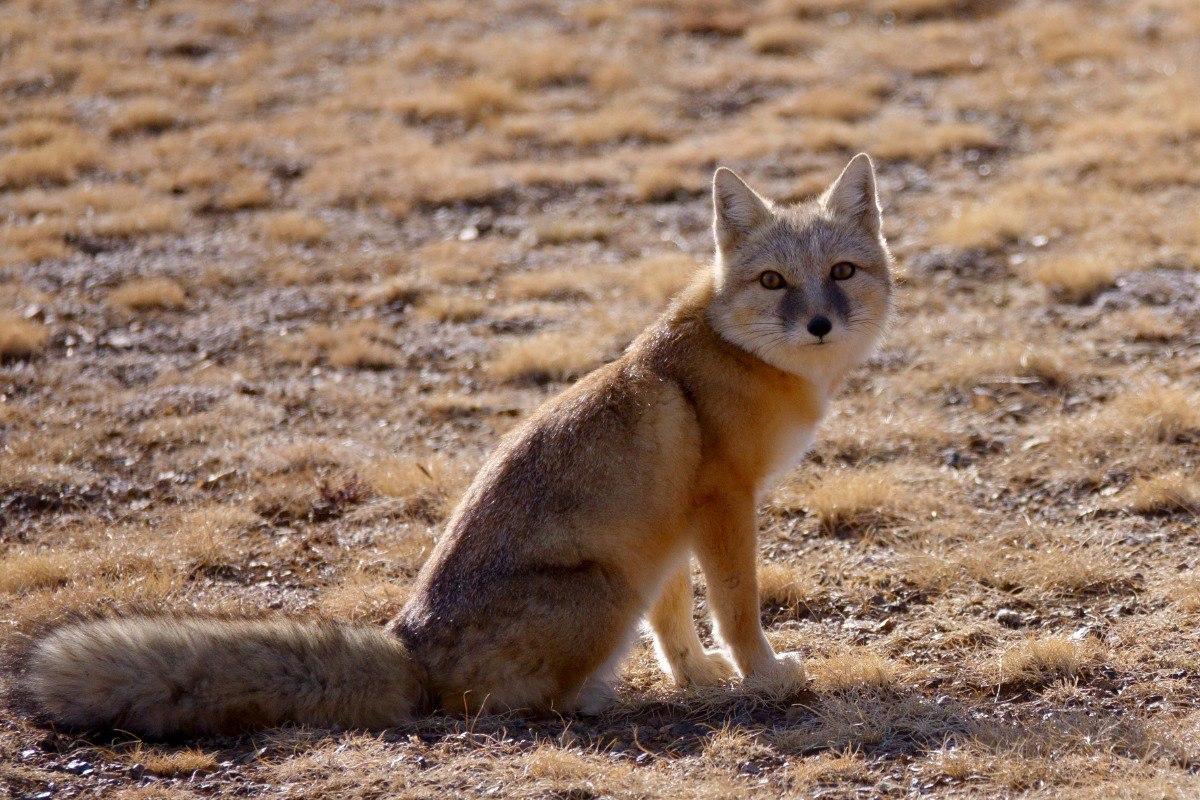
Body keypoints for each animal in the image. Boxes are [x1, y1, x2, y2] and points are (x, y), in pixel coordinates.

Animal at [9, 154, 892, 738]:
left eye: (843, 272)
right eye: (775, 282)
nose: (820, 323)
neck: (743, 360)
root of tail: (410, 644)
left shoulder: (669, 529)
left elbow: (677, 623)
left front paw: (701, 678)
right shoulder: (721, 504)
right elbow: (739, 608)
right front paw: (763, 677)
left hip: (628, 575)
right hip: (608, 589)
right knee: (510, 703)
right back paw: (592, 697)